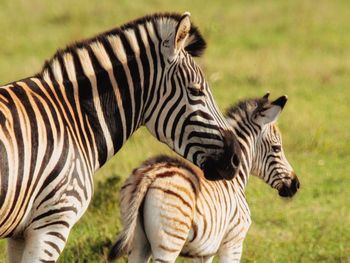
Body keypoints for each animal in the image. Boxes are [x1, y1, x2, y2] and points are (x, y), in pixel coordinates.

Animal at [108, 94, 300, 262]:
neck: (235, 180)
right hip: (169, 242)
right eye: (276, 148)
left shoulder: (205, 252)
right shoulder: (233, 243)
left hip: (137, 243)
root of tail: (150, 174)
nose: (296, 184)